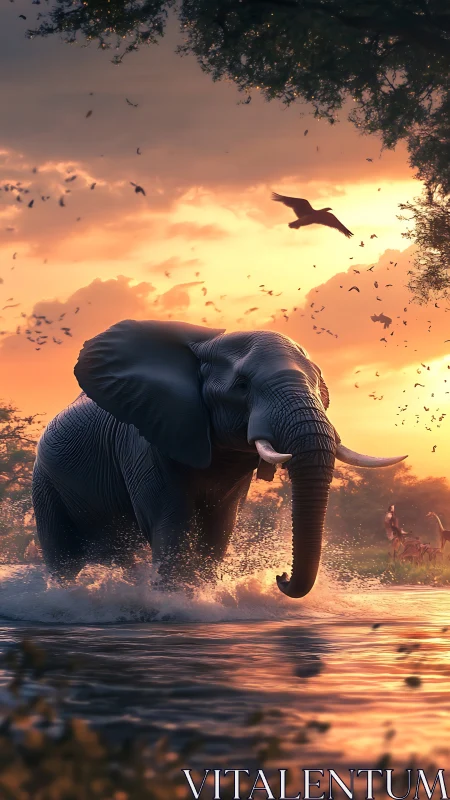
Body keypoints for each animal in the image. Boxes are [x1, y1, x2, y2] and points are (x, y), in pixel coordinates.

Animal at [32, 320, 407, 598]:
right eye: (241, 386)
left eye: (319, 384)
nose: (281, 576)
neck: (207, 346)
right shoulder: (144, 442)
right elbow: (173, 524)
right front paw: (177, 605)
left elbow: (219, 529)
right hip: (44, 482)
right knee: (63, 559)